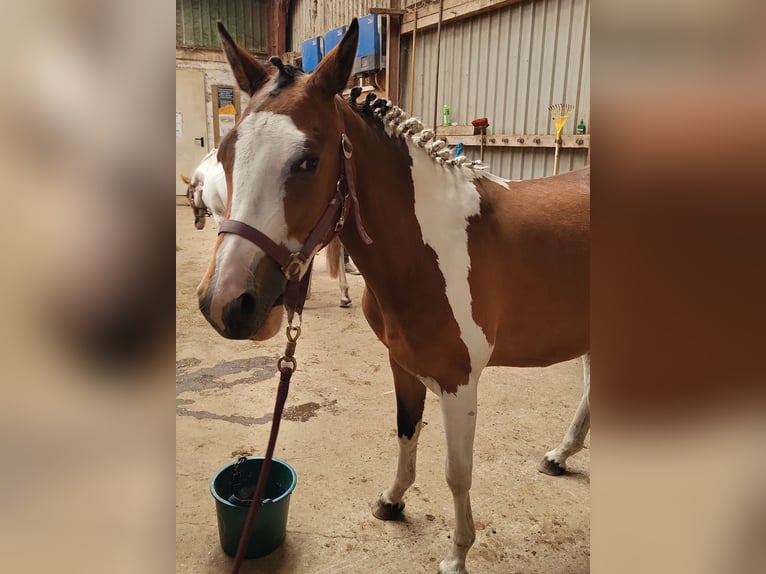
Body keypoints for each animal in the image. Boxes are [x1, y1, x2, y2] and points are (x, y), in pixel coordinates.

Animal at [198, 20, 589, 574]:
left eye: (308, 161)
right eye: (228, 152)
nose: (226, 303)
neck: (427, 250)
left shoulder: (459, 383)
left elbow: (457, 471)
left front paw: (457, 554)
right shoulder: (403, 365)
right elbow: (406, 433)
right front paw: (393, 500)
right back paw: (560, 455)